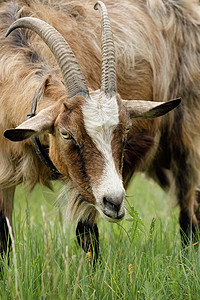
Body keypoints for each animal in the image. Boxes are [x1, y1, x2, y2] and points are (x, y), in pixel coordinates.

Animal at [0, 0, 197, 260]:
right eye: (66, 134)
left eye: (126, 130)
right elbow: (4, 237)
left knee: (189, 212)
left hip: (188, 140)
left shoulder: (86, 188)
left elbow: (87, 236)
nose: (115, 202)